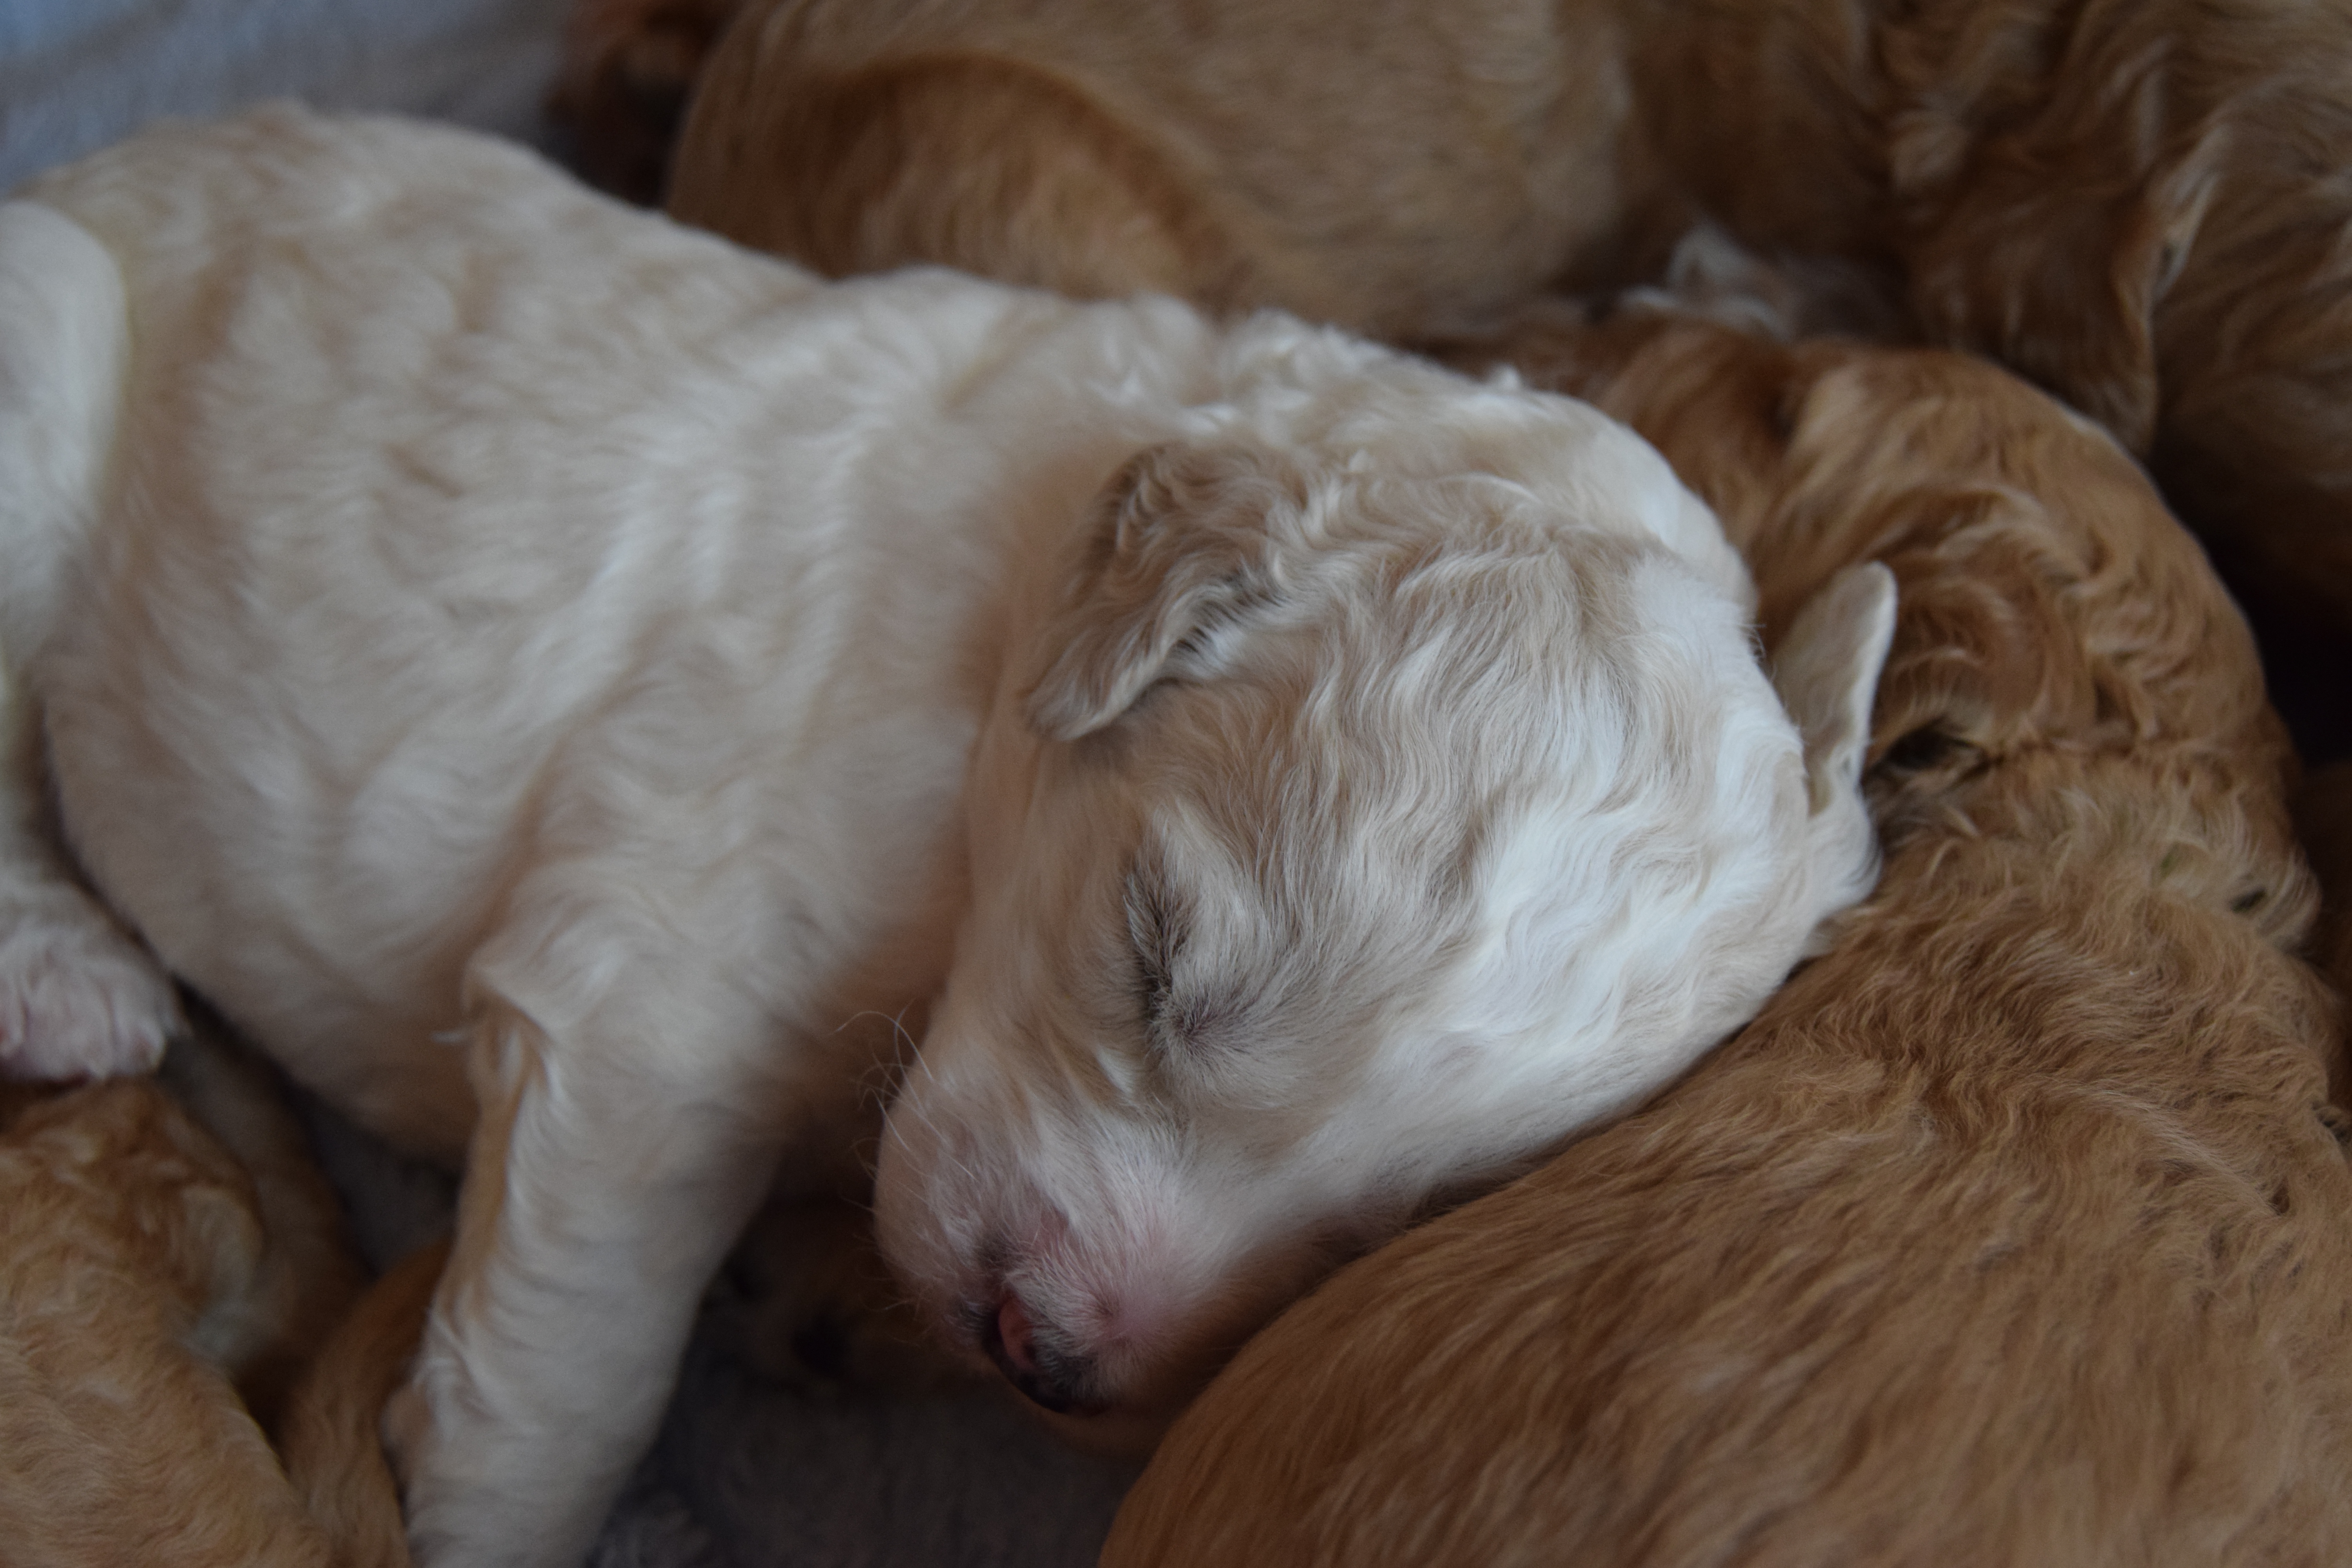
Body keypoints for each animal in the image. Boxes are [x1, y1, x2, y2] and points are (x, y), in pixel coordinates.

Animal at [0, 110, 1882, 1568]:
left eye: (1377, 1229)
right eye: (1153, 954)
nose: (1039, 1348)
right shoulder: (649, 986)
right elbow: (571, 1360)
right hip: (49, 357)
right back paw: (72, 977)